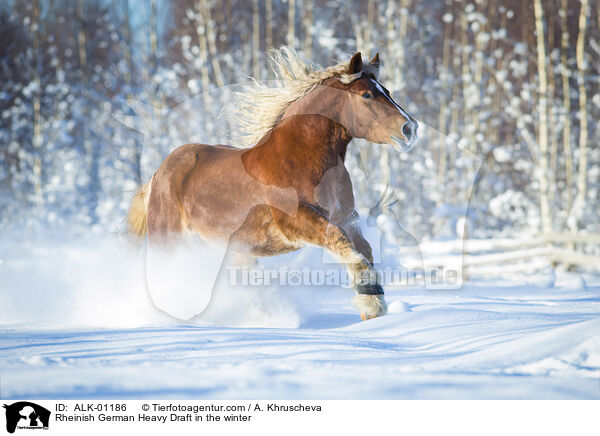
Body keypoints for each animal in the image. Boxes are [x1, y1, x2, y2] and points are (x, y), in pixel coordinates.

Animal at [127, 48, 418, 320]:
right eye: (366, 95)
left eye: (386, 91)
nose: (410, 129)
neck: (301, 156)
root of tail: (158, 174)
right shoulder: (295, 221)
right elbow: (341, 242)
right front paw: (370, 299)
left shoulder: (346, 217)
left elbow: (363, 248)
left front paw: (372, 306)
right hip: (169, 240)